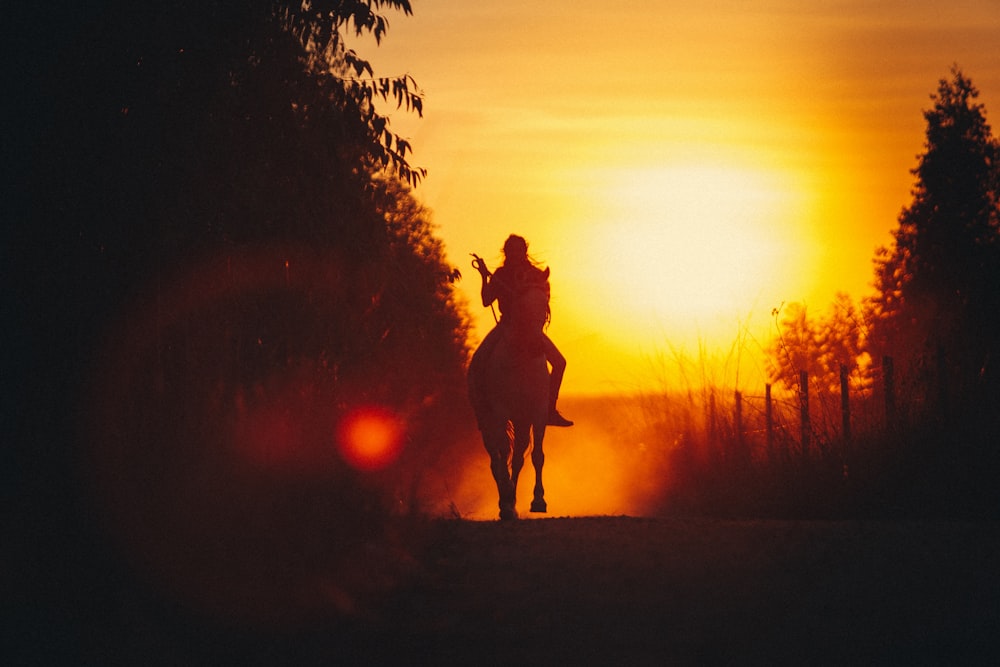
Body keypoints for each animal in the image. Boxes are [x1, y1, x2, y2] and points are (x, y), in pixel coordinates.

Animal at [466, 282, 548, 520]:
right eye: (522, 305)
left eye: (545, 303)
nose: (536, 346)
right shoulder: (500, 413)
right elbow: (503, 451)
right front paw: (508, 497)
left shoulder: (538, 414)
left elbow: (537, 455)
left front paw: (539, 500)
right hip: (486, 422)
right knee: (496, 458)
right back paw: (505, 502)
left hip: (521, 422)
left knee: (518, 457)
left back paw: (511, 500)